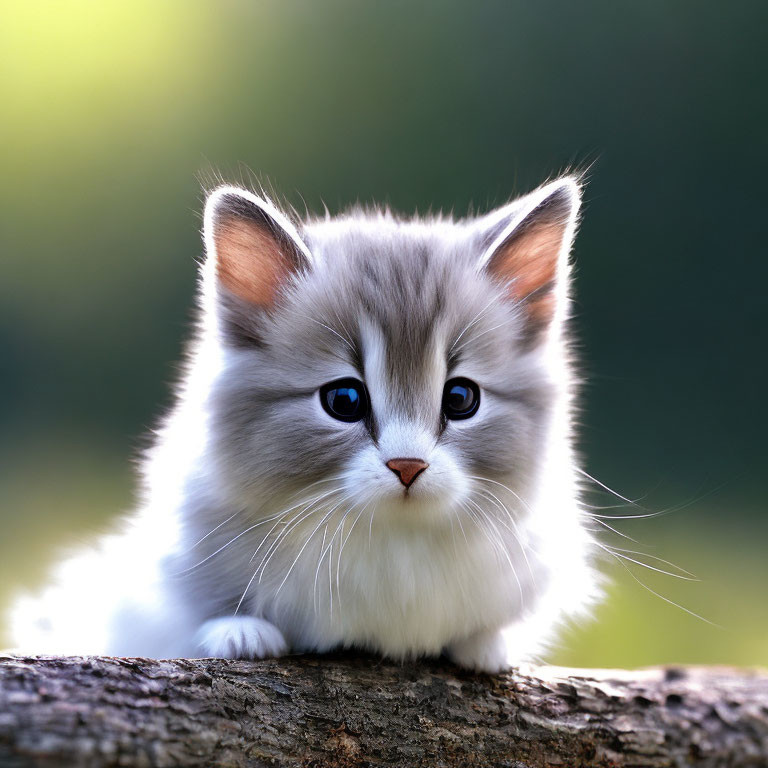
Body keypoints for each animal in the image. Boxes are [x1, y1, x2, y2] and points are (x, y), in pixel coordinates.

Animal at [10, 177, 600, 668]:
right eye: (344, 399)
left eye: (460, 398)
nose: (407, 466)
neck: (393, 534)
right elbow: (198, 613)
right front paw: (239, 632)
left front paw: (488, 646)